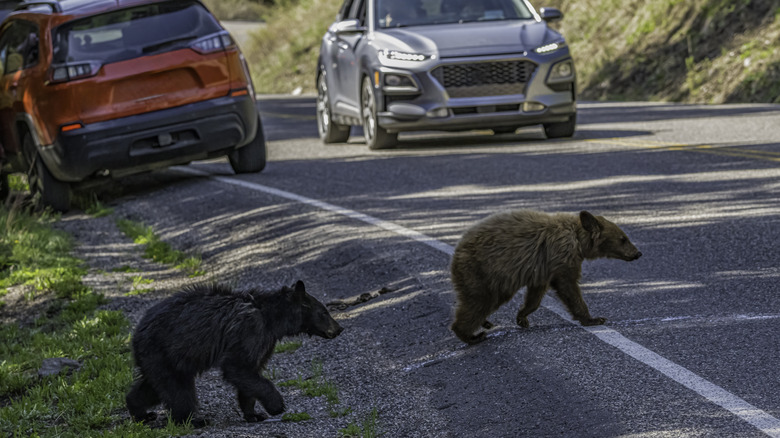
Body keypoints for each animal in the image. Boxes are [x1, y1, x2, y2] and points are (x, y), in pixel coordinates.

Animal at [126, 280, 343, 426]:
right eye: (324, 312)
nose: (339, 328)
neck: (271, 318)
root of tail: (135, 334)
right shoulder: (250, 330)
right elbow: (237, 367)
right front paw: (276, 405)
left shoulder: (265, 341)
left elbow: (250, 374)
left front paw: (254, 414)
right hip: (163, 351)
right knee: (178, 391)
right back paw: (194, 420)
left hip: (159, 359)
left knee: (154, 387)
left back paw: (140, 412)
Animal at [450, 210, 641, 344]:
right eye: (623, 239)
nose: (638, 253)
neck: (577, 240)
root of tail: (457, 252)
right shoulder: (561, 258)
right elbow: (568, 286)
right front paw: (593, 319)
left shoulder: (542, 268)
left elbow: (536, 294)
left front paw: (522, 316)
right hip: (483, 273)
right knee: (478, 302)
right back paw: (471, 335)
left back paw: (485, 323)